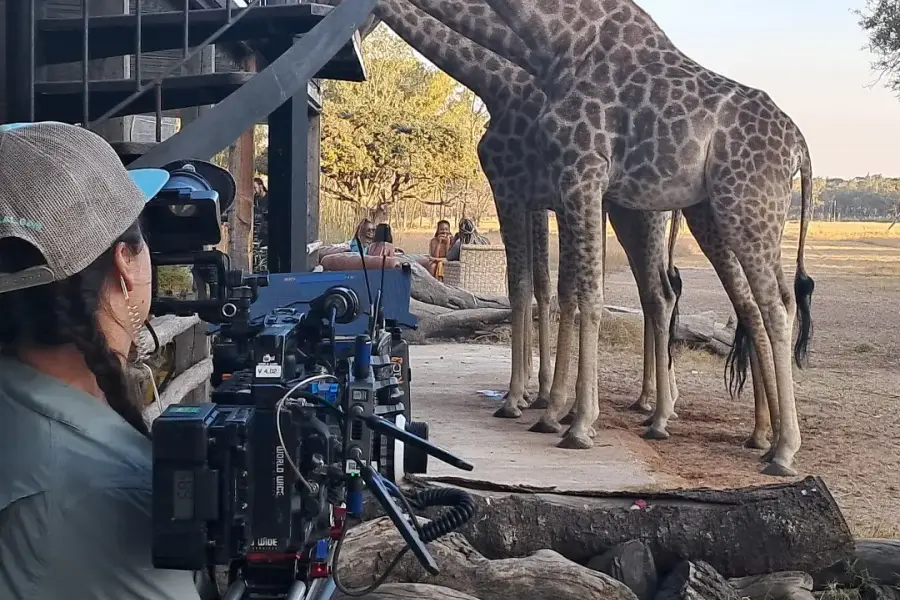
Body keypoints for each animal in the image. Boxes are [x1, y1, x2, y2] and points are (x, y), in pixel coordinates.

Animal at [368, 0, 686, 429]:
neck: (499, 86)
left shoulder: (516, 190)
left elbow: (529, 287)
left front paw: (526, 399)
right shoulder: (540, 199)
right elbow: (543, 287)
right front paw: (543, 394)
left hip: (638, 215)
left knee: (658, 294)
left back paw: (660, 412)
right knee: (656, 293)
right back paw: (652, 401)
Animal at [408, 0, 815, 475]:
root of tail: (800, 148)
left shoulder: (551, 180)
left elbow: (556, 291)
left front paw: (557, 414)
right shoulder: (559, 192)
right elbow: (556, 289)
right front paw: (547, 402)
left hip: (741, 208)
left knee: (766, 307)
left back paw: (777, 447)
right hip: (711, 213)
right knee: (711, 299)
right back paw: (738, 430)